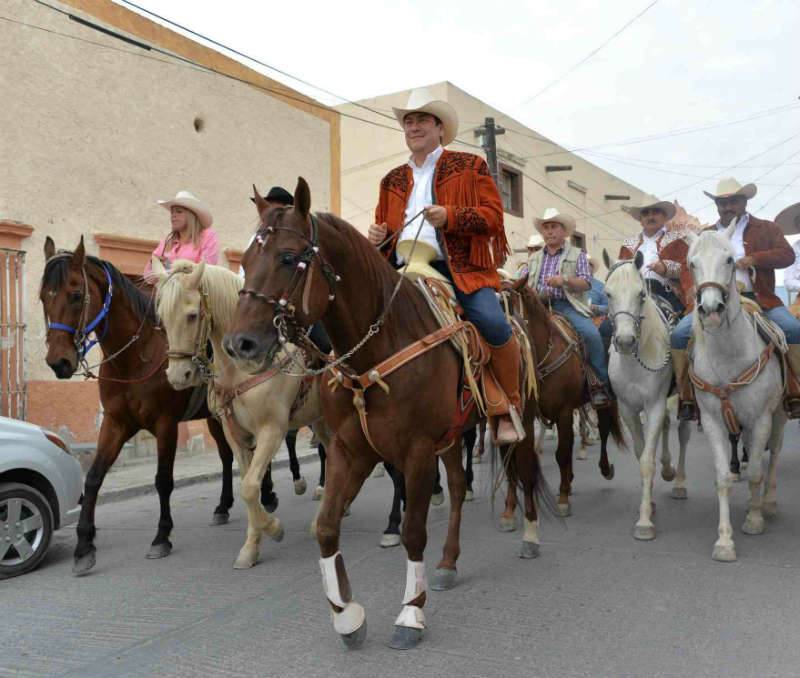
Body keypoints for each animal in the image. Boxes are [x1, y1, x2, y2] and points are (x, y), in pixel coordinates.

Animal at [39, 238, 272, 572]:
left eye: (76, 295)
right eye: (43, 297)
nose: (59, 362)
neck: (135, 357)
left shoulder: (165, 424)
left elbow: (163, 480)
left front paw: (161, 537)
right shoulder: (116, 423)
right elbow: (94, 478)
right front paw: (84, 545)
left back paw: (267, 496)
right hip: (216, 417)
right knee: (228, 456)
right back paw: (223, 506)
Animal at [222, 181, 552, 652]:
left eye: (288, 257)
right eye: (247, 261)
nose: (239, 344)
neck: (380, 345)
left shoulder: (416, 452)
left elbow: (413, 531)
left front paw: (410, 614)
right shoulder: (349, 451)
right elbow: (327, 527)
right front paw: (347, 617)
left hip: (515, 419)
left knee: (524, 468)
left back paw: (529, 535)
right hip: (451, 436)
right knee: (456, 486)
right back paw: (448, 562)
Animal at [500, 282, 624, 520]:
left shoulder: (564, 411)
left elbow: (562, 454)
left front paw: (564, 498)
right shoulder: (527, 417)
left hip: (605, 400)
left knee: (603, 431)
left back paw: (605, 468)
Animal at [604, 250, 692, 540]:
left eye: (641, 294)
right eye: (608, 293)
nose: (624, 341)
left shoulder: (653, 405)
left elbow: (646, 462)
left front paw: (644, 522)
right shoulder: (628, 409)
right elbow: (641, 453)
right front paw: (649, 503)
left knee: (683, 434)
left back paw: (678, 481)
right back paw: (667, 470)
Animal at [688, 228, 788, 564]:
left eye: (730, 259)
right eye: (691, 263)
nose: (711, 310)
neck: (728, 357)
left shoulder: (761, 419)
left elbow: (756, 470)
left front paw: (754, 520)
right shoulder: (712, 422)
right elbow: (722, 478)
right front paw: (724, 541)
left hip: (779, 415)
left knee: (774, 455)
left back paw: (767, 502)